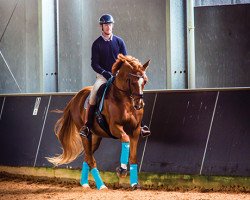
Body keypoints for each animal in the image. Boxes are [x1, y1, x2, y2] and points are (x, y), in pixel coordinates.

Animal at [47, 54, 149, 190]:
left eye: (145, 81)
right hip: (85, 134)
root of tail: (76, 97)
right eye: (132, 82)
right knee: (91, 159)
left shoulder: (135, 130)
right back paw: (101, 186)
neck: (125, 101)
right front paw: (122, 170)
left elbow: (133, 157)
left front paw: (135, 184)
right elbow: (125, 139)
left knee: (87, 156)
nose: (139, 105)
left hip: (96, 136)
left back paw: (84, 183)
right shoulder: (115, 127)